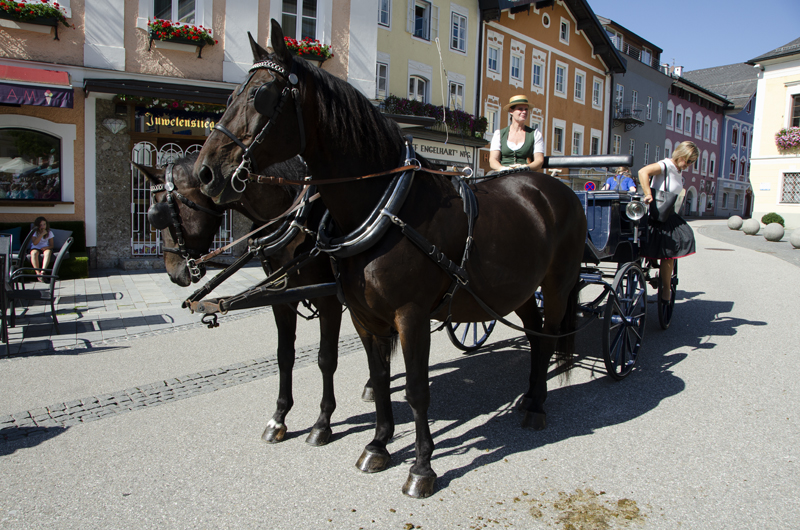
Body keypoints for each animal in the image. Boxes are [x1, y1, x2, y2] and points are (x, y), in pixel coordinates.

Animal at [134, 154, 346, 447]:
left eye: (162, 213)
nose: (174, 274)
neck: (299, 216)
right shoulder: (280, 299)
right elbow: (284, 356)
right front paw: (278, 418)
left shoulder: (328, 299)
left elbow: (326, 359)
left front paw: (322, 422)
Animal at [193, 20, 587, 498]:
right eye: (231, 95)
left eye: (261, 96)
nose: (206, 171)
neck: (385, 207)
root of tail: (554, 189)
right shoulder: (363, 314)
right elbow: (378, 377)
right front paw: (378, 444)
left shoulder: (409, 315)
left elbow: (416, 389)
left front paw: (421, 467)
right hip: (518, 289)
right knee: (532, 333)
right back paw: (529, 396)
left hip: (557, 284)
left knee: (547, 339)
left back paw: (537, 406)